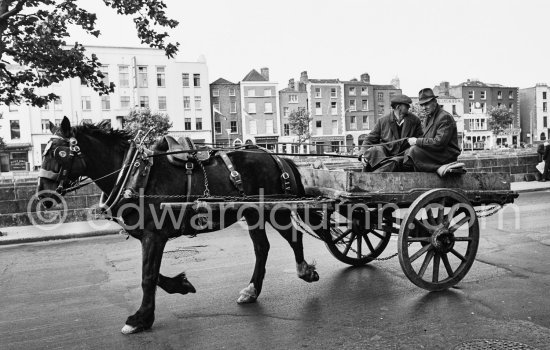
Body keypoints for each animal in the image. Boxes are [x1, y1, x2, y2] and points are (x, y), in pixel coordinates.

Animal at [36, 117, 322, 334]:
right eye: (43, 152)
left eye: (60, 153)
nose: (43, 196)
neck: (135, 175)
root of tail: (273, 155)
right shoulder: (148, 235)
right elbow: (153, 274)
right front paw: (181, 285)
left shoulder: (154, 234)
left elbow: (147, 276)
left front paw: (140, 319)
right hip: (253, 213)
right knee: (262, 248)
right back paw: (252, 290)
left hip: (275, 209)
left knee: (293, 238)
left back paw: (305, 271)